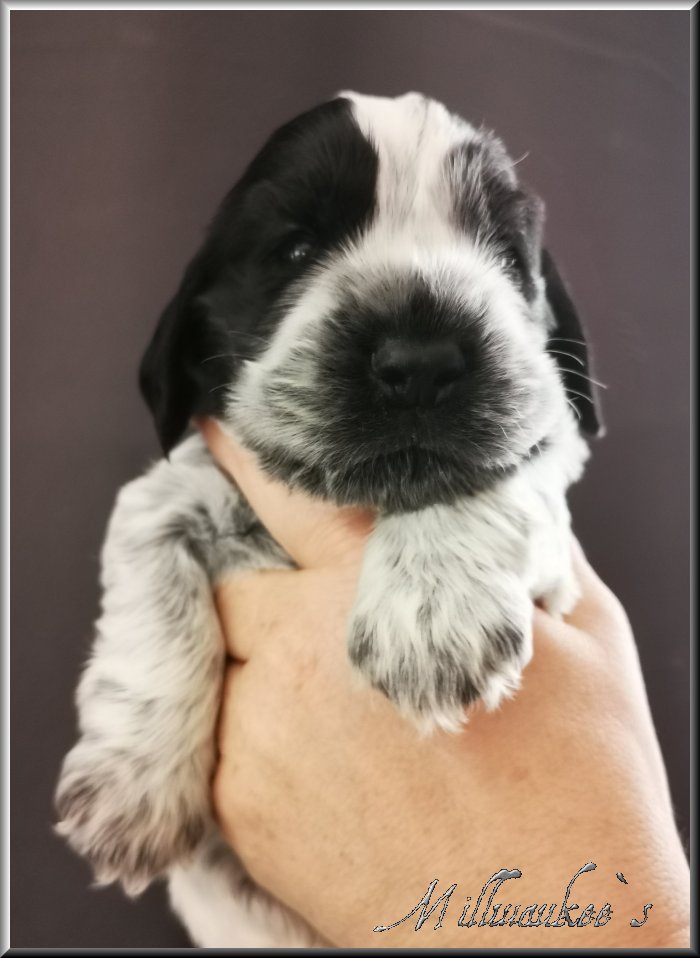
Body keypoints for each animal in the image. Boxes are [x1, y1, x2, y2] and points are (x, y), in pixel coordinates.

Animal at [54, 91, 602, 947]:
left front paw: (431, 615)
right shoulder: (169, 494)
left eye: (511, 260)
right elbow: (155, 601)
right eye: (294, 249)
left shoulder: (550, 469)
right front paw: (133, 783)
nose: (422, 361)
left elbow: (501, 472)